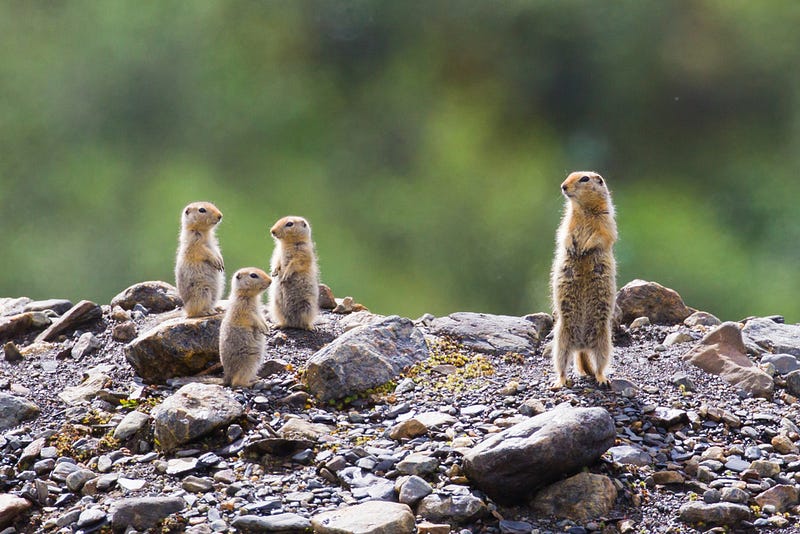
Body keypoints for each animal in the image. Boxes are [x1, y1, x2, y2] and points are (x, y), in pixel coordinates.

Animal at [552, 172, 620, 390]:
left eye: (584, 179)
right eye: (568, 175)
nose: (563, 186)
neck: (583, 209)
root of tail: (581, 345)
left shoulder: (606, 221)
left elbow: (602, 236)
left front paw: (585, 248)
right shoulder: (567, 223)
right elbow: (564, 235)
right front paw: (574, 248)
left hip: (603, 340)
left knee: (600, 364)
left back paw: (602, 378)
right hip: (561, 340)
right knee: (562, 365)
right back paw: (559, 381)